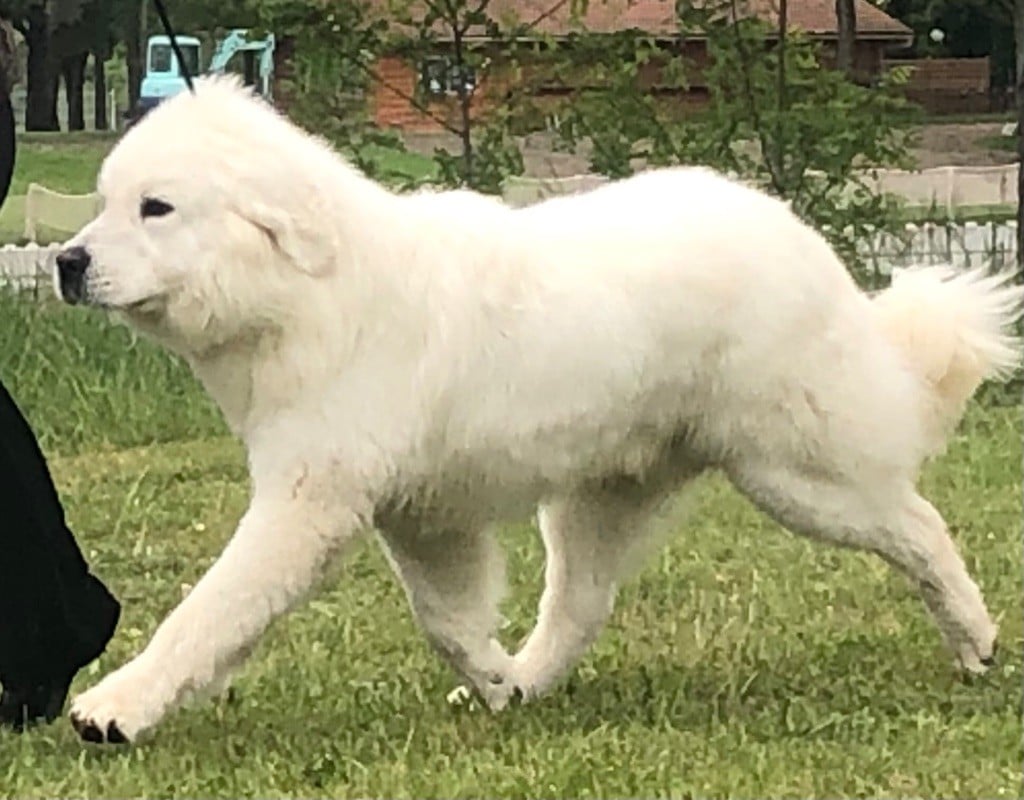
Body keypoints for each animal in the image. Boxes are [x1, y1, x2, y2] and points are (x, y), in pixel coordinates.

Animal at [58, 77, 1024, 745]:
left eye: (156, 208)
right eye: (104, 203)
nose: (67, 262)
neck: (309, 294)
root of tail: (793, 231)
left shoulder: (307, 507)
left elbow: (206, 614)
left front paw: (114, 707)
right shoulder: (421, 517)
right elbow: (447, 621)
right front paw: (494, 682)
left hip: (798, 476)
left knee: (918, 525)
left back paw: (975, 640)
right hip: (598, 500)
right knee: (578, 610)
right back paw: (528, 679)